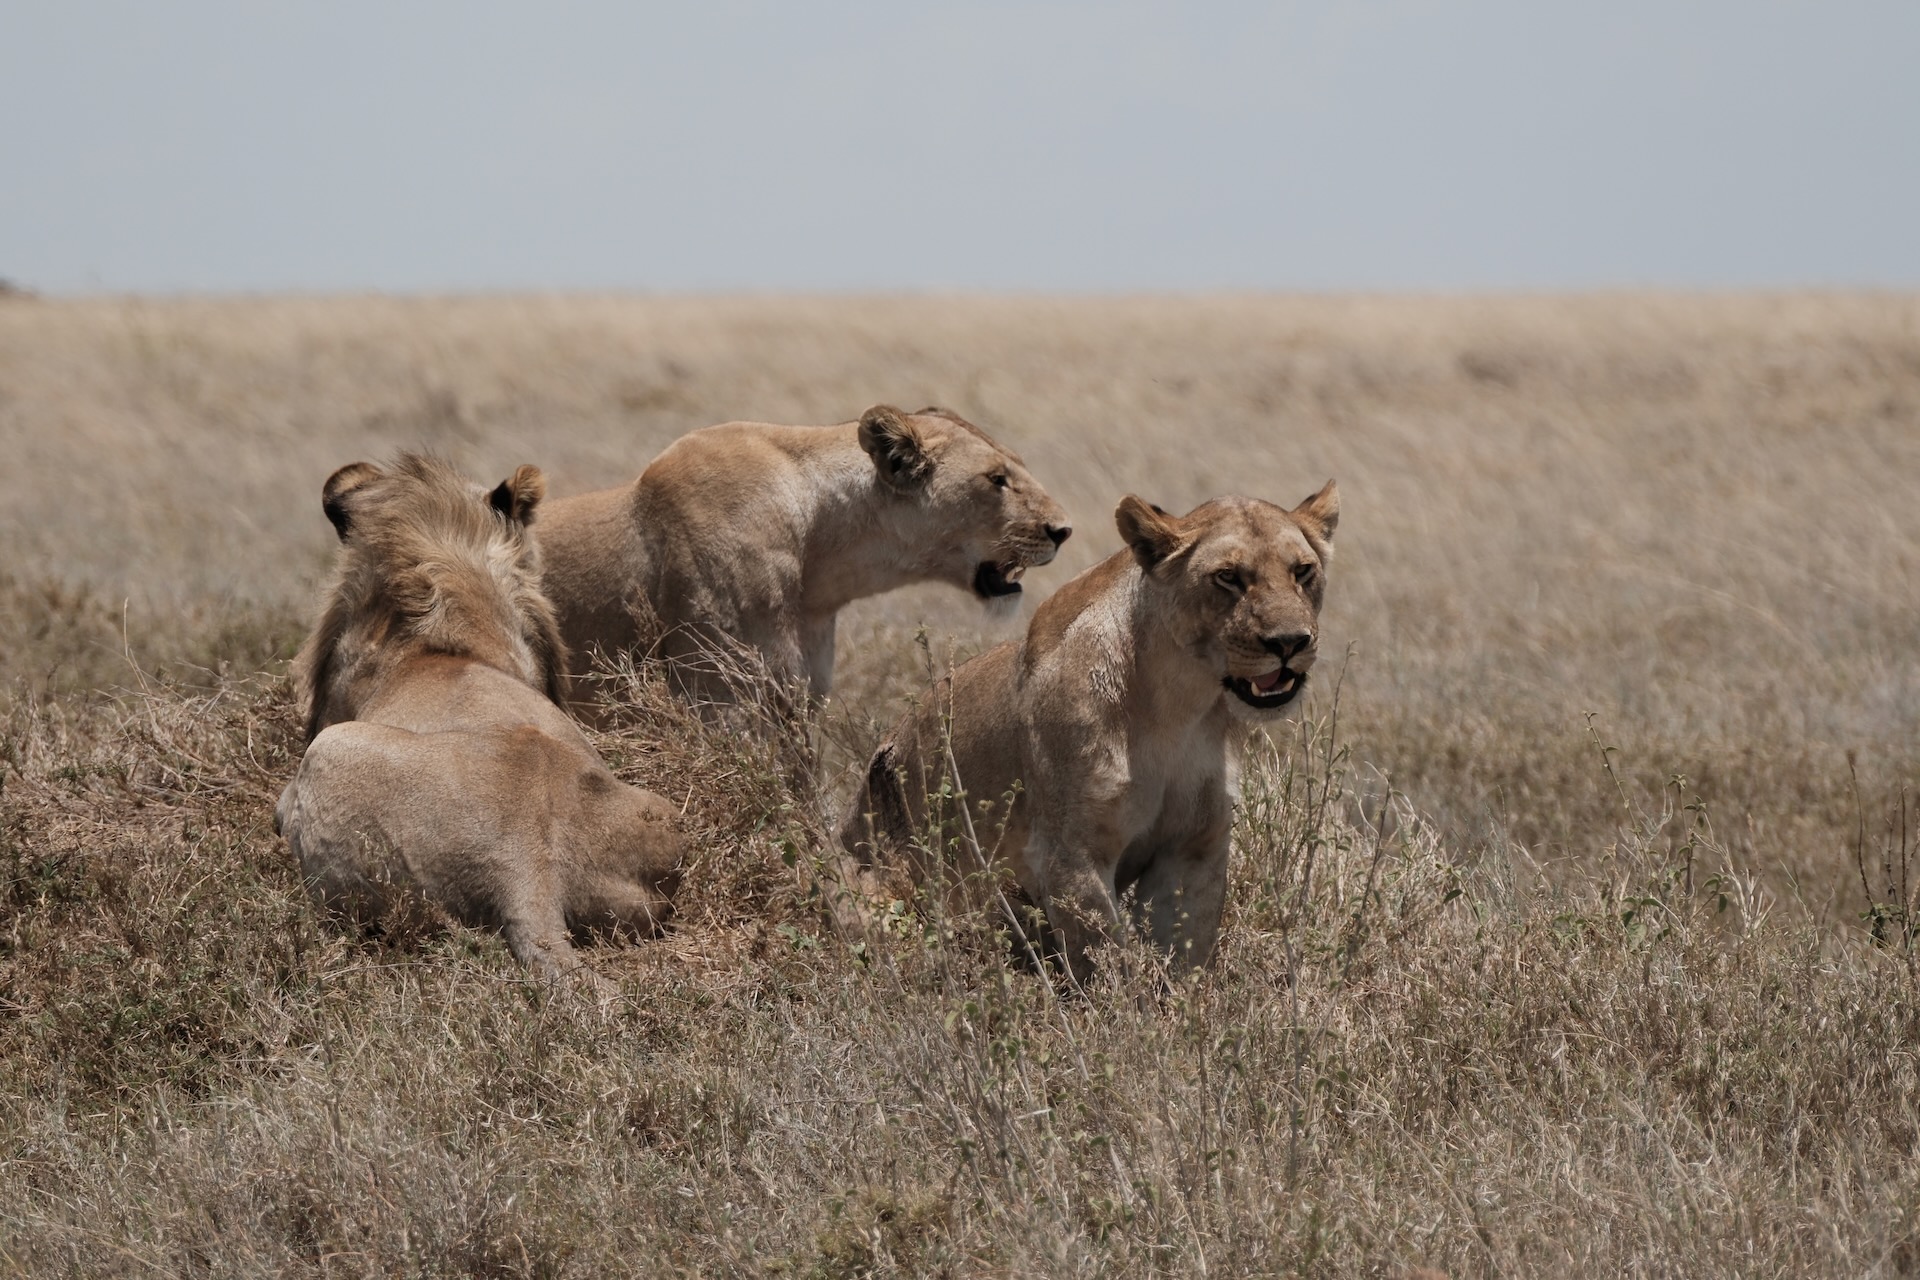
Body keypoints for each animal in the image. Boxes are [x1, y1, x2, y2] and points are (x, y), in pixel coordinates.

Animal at [838, 482, 1339, 982]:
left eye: (1302, 571)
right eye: (1228, 577)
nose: (1290, 643)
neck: (1180, 704)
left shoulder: (1193, 848)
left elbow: (1184, 954)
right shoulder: (1072, 853)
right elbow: (1106, 962)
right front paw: (1125, 1003)